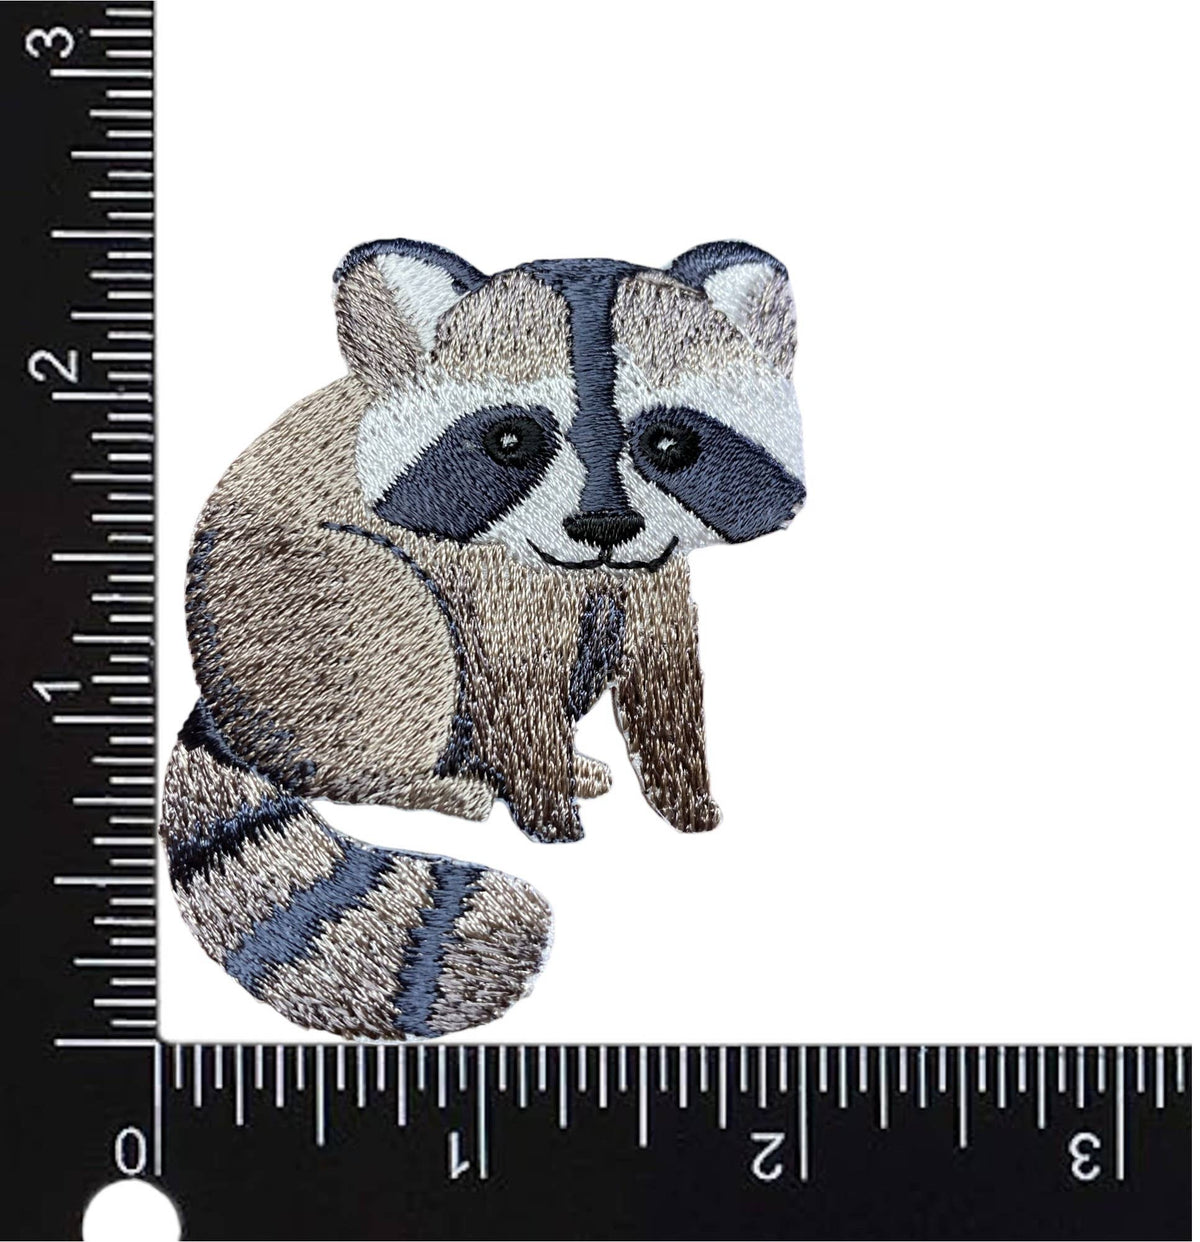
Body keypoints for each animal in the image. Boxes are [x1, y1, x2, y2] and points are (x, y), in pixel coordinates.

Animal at [160, 239, 805, 1039]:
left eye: (670, 443)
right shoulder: (490, 574)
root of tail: (224, 711)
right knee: (406, 630)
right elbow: (512, 686)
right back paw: (430, 780)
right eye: (510, 440)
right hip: (295, 616)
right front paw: (552, 820)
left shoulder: (654, 567)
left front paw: (686, 806)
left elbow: (663, 678)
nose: (602, 527)